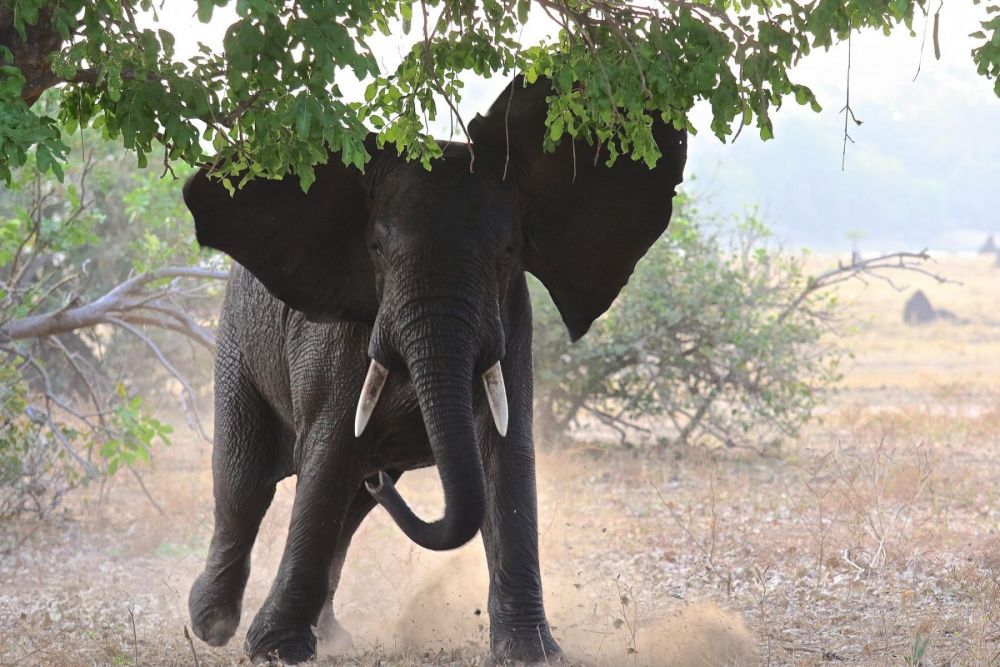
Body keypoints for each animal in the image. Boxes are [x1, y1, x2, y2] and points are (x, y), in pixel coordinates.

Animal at [184, 75, 688, 664]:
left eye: (508, 251)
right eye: (375, 248)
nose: (381, 478)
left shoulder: (512, 321)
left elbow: (505, 457)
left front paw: (532, 653)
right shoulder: (337, 333)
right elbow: (328, 452)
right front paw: (274, 651)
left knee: (350, 507)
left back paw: (330, 632)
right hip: (236, 346)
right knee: (243, 484)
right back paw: (212, 624)